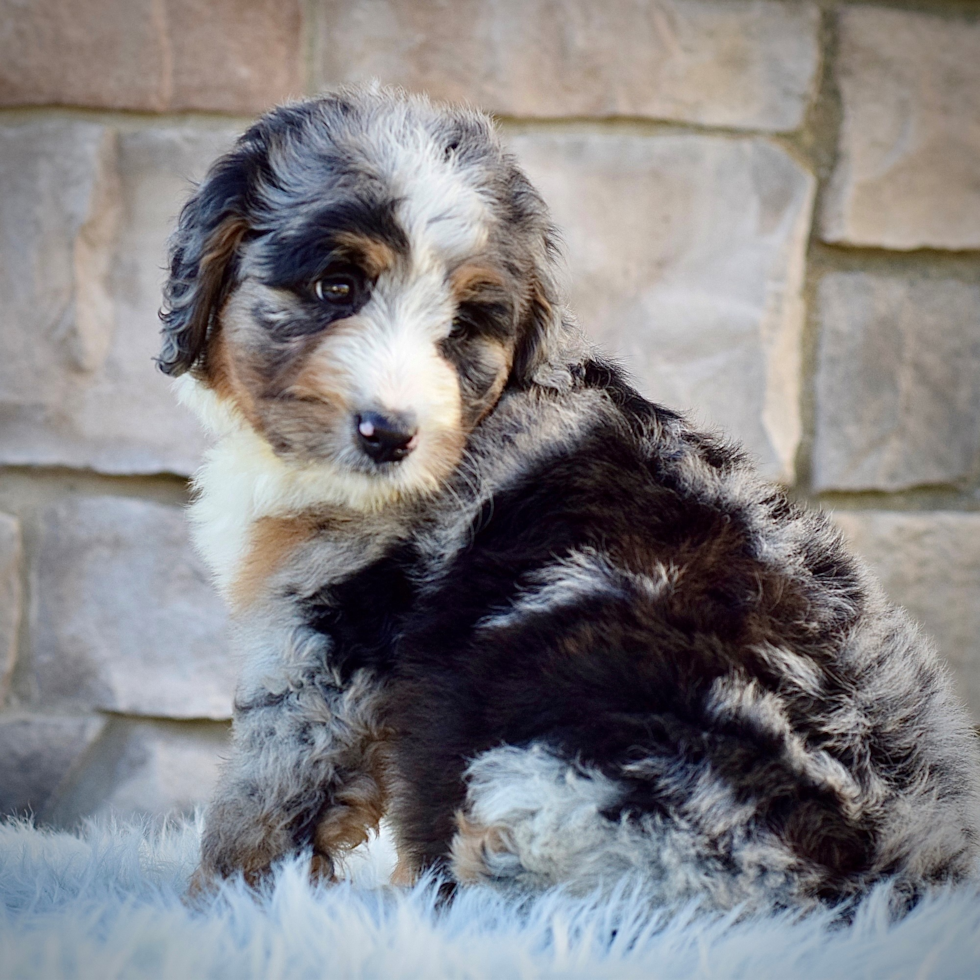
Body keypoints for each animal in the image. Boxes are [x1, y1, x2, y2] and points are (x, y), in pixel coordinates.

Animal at [161, 84, 980, 912]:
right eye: (337, 287)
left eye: (463, 326)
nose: (389, 434)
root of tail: (893, 874)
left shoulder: (324, 644)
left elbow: (266, 795)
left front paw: (221, 901)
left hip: (552, 783)